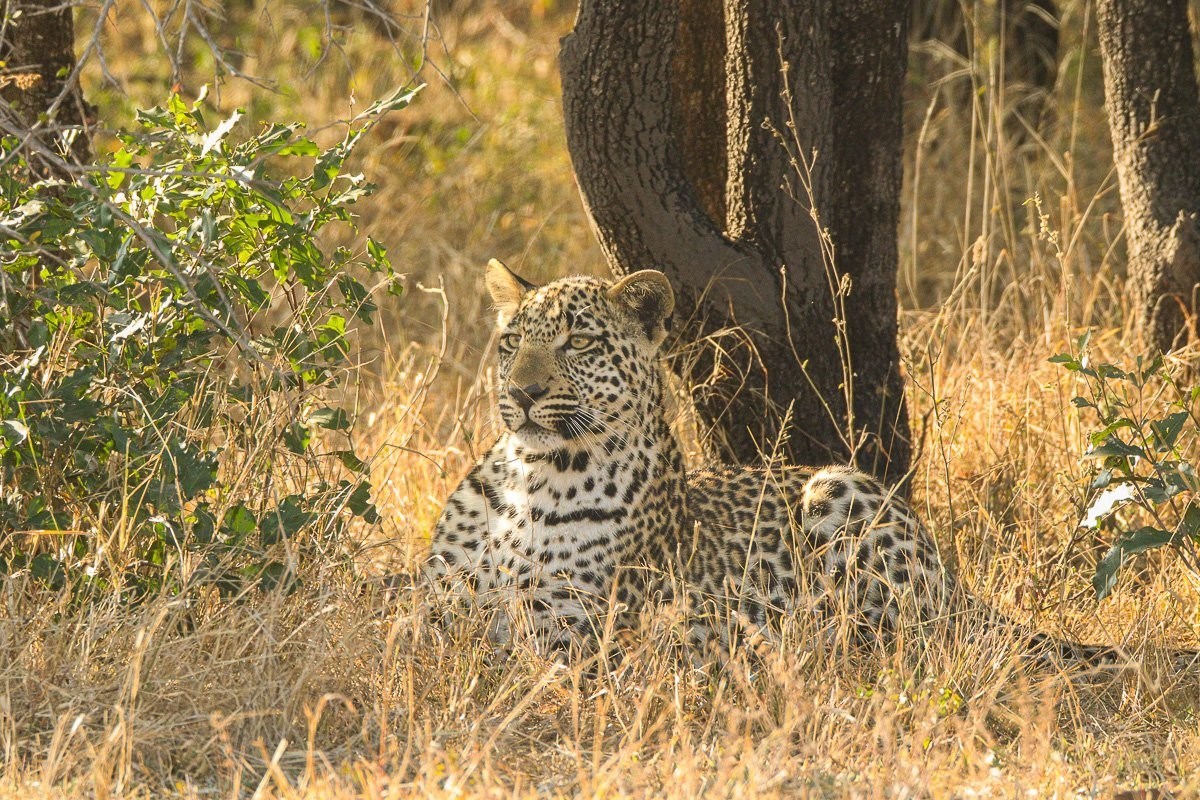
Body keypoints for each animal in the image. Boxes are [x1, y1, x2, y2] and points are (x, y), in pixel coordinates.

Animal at [427, 260, 1189, 669]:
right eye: (511, 342)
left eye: (578, 342)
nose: (521, 392)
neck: (532, 476)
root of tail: (958, 585)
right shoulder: (436, 611)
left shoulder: (568, 637)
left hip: (840, 491)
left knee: (910, 639)